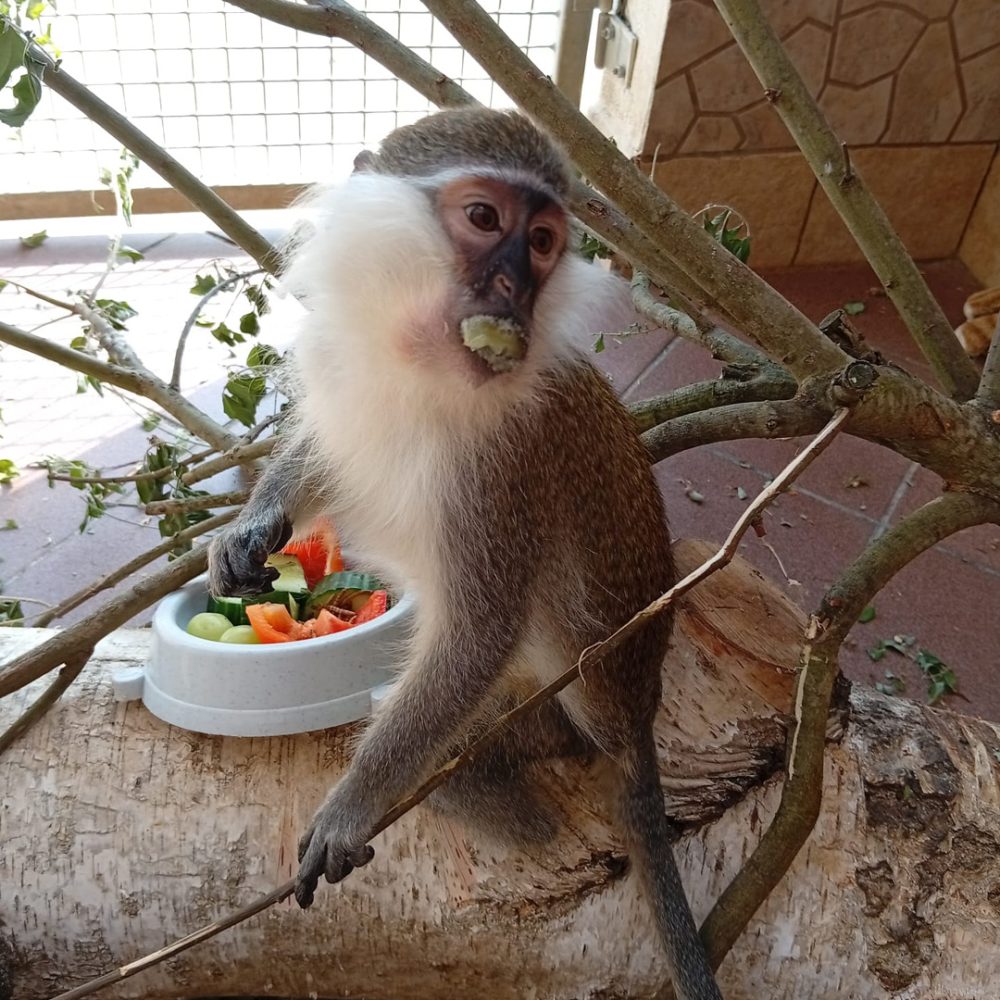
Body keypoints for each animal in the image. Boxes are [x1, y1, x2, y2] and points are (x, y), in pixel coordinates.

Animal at [208, 108, 722, 1000]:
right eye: (485, 219)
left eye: (543, 242)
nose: (515, 288)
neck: (417, 365)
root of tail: (637, 718)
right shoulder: (342, 366)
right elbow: (324, 449)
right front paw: (253, 526)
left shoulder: (501, 470)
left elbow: (479, 631)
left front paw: (352, 803)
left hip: (547, 715)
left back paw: (494, 806)